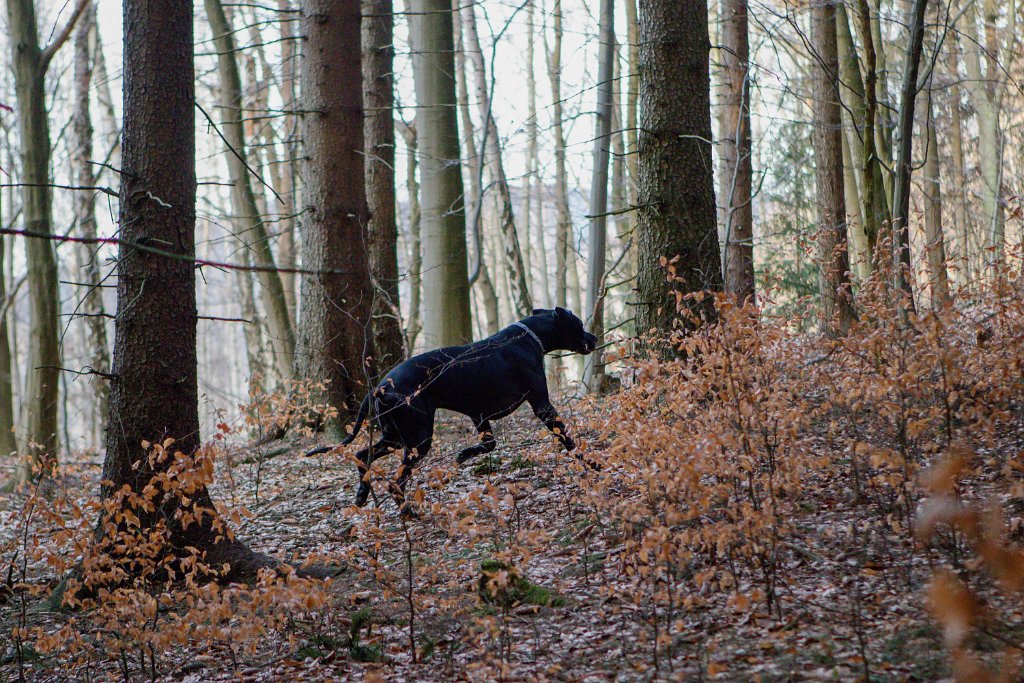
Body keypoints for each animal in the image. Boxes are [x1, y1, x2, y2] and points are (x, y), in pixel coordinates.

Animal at [307, 309, 598, 511]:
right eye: (580, 325)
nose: (594, 337)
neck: (529, 337)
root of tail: (379, 387)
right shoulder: (542, 406)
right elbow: (567, 439)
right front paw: (591, 462)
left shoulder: (479, 414)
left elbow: (489, 443)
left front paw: (464, 454)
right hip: (418, 439)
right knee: (394, 481)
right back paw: (409, 512)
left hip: (395, 435)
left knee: (362, 454)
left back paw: (362, 493)